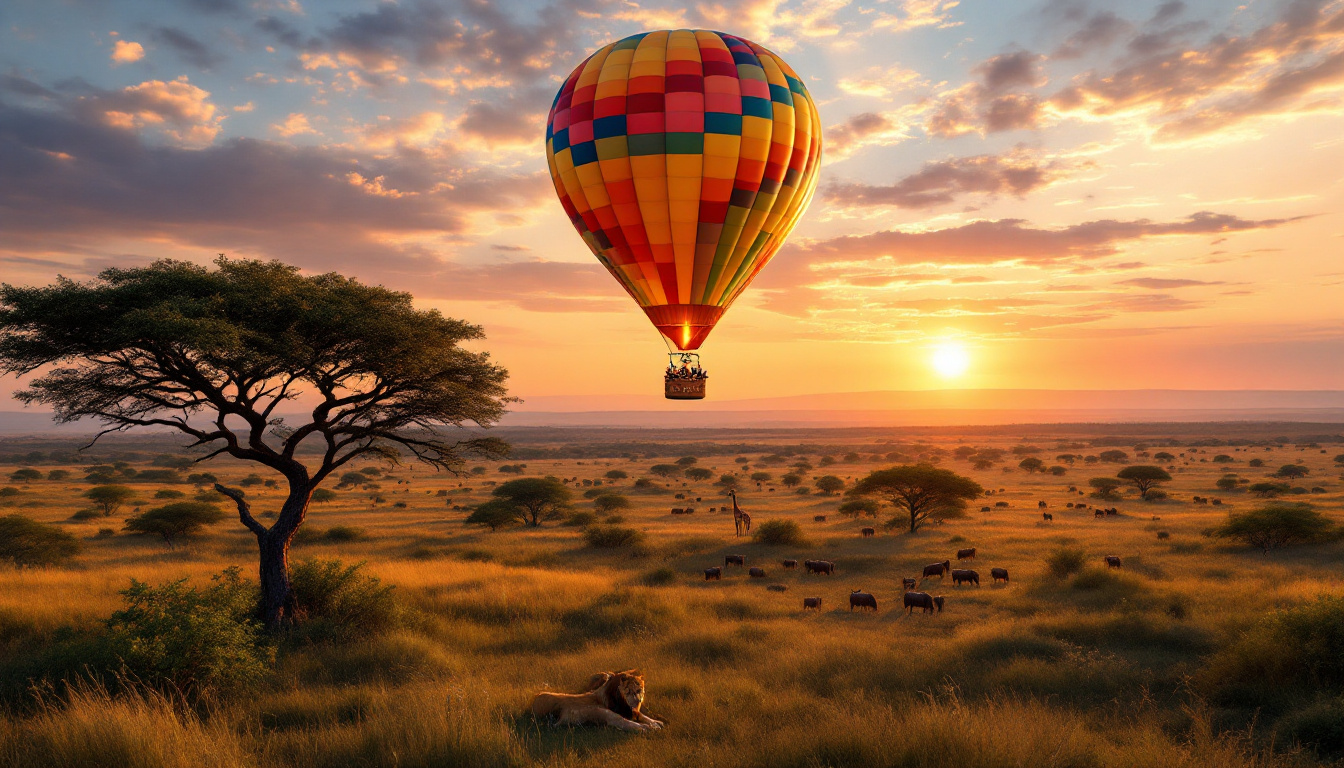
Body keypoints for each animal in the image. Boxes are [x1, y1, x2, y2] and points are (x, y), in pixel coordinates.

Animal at [529, 667, 666, 731]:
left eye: (639, 690)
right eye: (629, 691)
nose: (638, 701)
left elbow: (642, 715)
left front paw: (655, 722)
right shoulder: (613, 716)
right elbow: (630, 721)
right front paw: (650, 727)